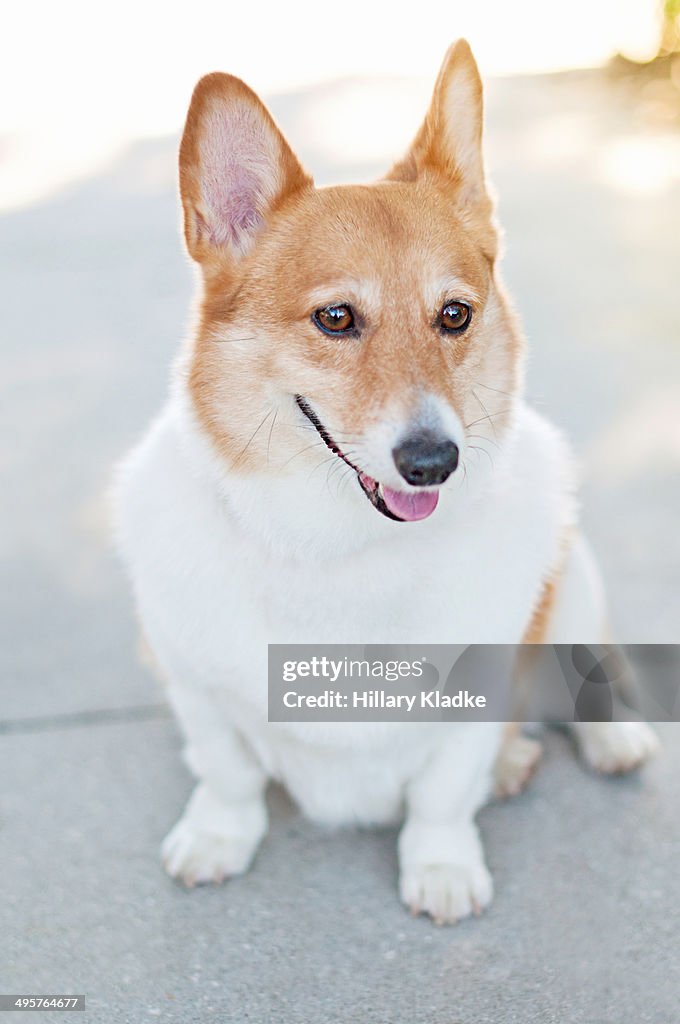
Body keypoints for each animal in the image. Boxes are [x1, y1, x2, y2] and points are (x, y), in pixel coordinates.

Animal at [115, 39, 659, 925]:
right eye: (336, 319)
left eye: (455, 315)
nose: (434, 461)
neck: (341, 546)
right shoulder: (193, 683)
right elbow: (228, 772)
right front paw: (218, 837)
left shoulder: (475, 698)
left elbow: (442, 795)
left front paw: (441, 867)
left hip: (572, 572)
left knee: (588, 658)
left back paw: (607, 737)